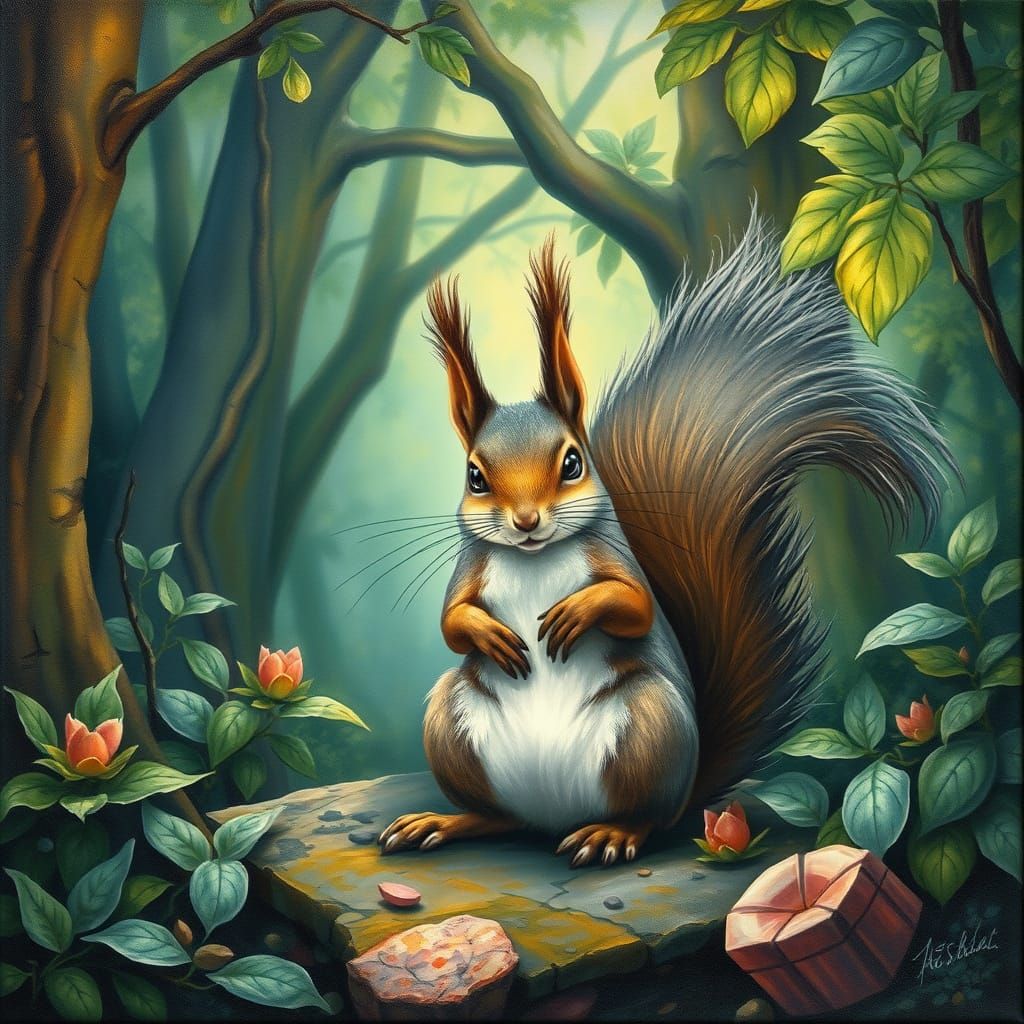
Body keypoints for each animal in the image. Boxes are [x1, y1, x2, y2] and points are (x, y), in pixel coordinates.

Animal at [379, 214, 954, 868]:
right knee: (498, 817)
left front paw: (576, 613)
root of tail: (553, 818)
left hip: (650, 727)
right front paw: (488, 634)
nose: (525, 522)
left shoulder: (614, 558)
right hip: (450, 722)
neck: (534, 558)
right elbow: (451, 622)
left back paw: (612, 834)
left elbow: (635, 604)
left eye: (572, 462)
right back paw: (444, 821)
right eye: (475, 476)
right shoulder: (472, 566)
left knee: (648, 817)